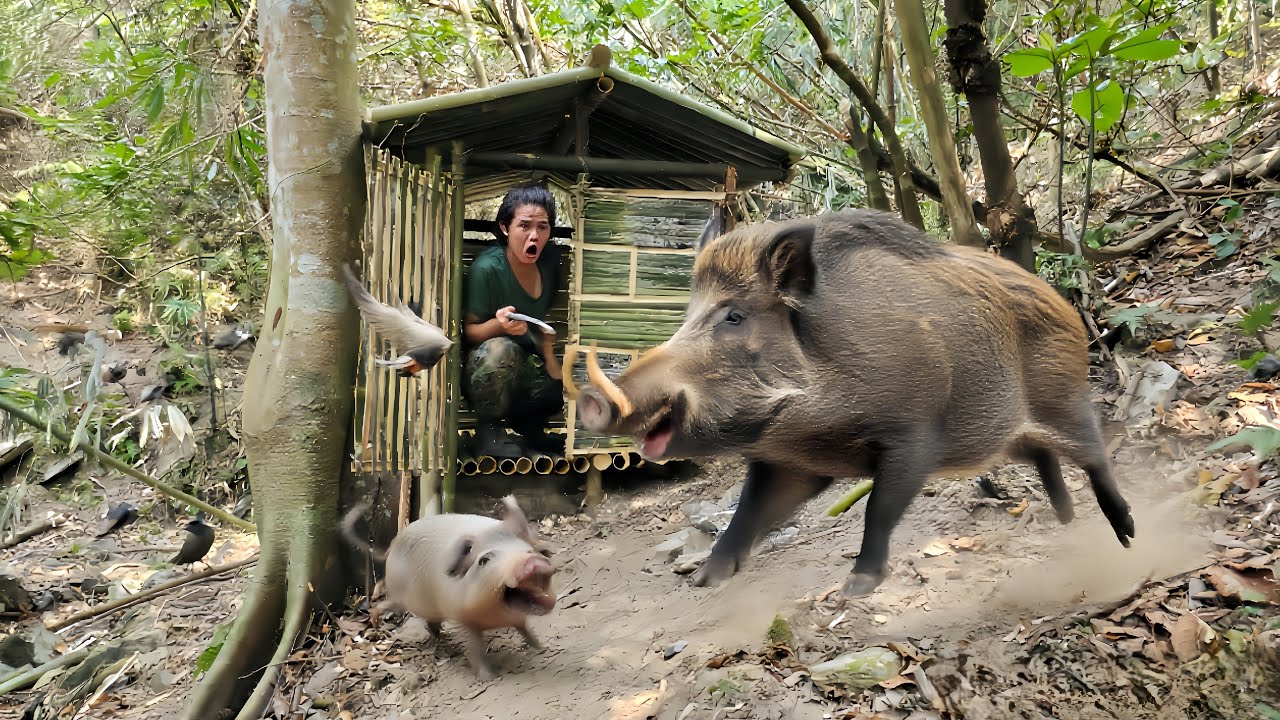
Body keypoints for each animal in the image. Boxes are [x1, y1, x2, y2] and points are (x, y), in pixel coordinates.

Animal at [340, 495, 558, 680]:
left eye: (527, 550)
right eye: (485, 560)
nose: (530, 561)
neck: (494, 617)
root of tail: (390, 548)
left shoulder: (517, 618)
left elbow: (526, 631)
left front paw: (543, 648)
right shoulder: (461, 620)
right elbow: (475, 651)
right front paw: (489, 678)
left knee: (430, 623)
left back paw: (439, 639)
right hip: (403, 598)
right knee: (387, 606)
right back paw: (378, 623)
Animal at [566, 208, 1135, 598]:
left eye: (734, 316)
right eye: (688, 315)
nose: (592, 398)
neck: (808, 420)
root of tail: (1064, 302)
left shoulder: (914, 437)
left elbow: (879, 510)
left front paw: (855, 587)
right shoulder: (793, 465)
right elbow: (746, 514)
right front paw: (705, 580)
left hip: (1063, 396)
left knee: (1095, 450)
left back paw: (1126, 536)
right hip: (1002, 436)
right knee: (1044, 456)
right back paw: (1064, 522)